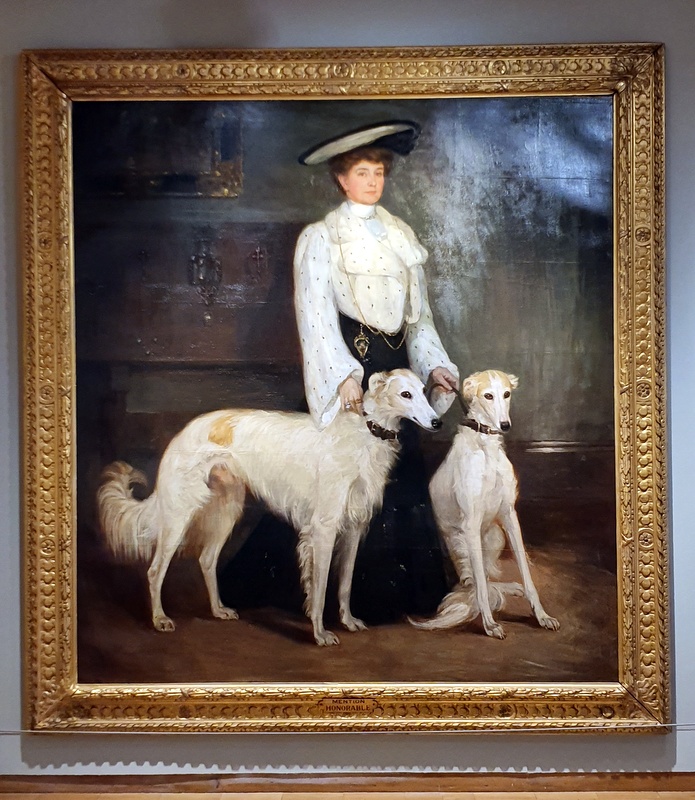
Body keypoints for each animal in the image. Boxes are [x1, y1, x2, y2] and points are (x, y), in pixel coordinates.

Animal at [97, 368, 441, 646]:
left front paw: (349, 621)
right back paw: (159, 619)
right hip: (179, 514)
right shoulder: (323, 529)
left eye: (424, 391)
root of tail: (182, 433)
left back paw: (218, 609)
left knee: (207, 559)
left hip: (227, 509)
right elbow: (319, 589)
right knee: (156, 569)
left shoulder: (355, 527)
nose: (437, 422)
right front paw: (319, 634)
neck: (365, 433)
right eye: (406, 394)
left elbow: (344, 583)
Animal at [410, 369, 559, 639]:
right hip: (461, 544)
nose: (505, 425)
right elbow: (480, 586)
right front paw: (489, 624)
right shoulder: (471, 522)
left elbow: (526, 573)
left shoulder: (510, 516)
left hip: (495, 537)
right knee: (474, 581)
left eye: (507, 393)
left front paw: (541, 615)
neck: (485, 445)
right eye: (488, 395)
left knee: (488, 578)